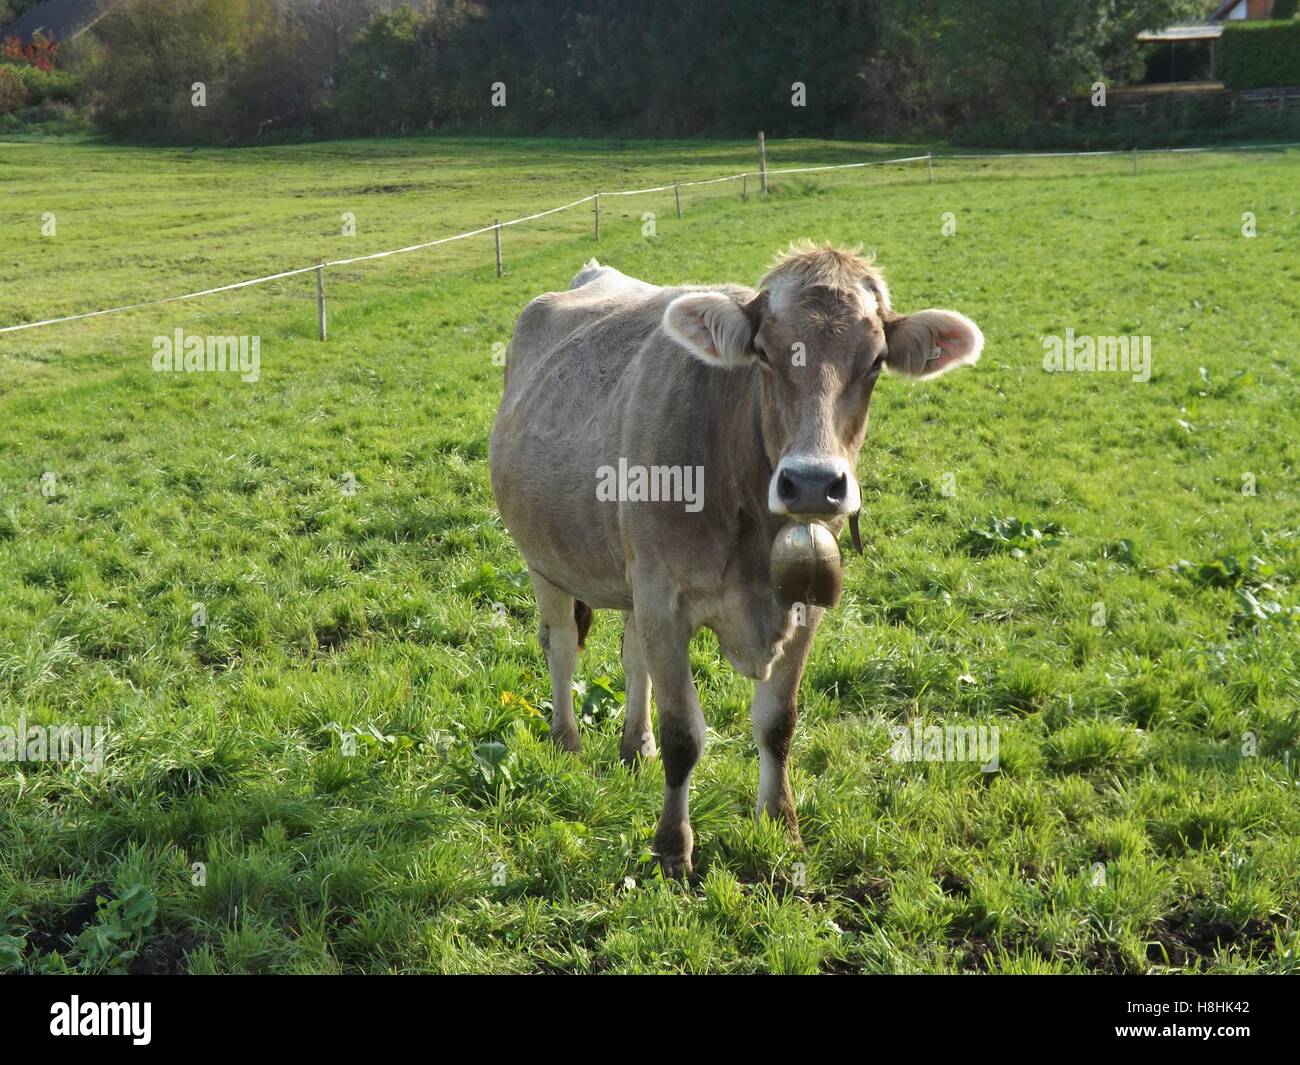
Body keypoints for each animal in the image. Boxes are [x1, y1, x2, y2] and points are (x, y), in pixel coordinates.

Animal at [488, 245, 982, 879]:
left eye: (875, 362)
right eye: (764, 354)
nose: (813, 483)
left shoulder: (800, 606)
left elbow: (777, 725)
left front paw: (782, 828)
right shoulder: (664, 597)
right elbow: (684, 735)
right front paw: (672, 848)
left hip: (629, 576)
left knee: (632, 657)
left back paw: (634, 748)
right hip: (546, 562)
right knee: (562, 649)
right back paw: (567, 742)